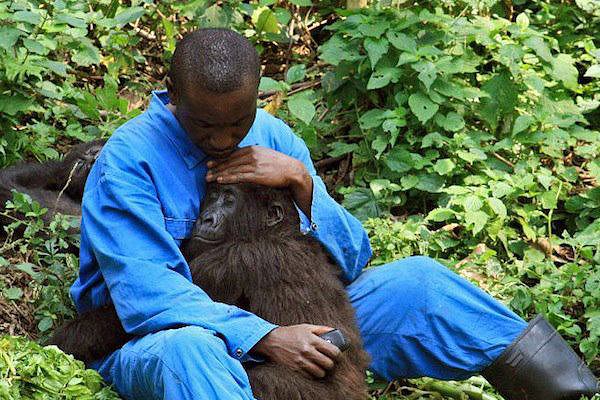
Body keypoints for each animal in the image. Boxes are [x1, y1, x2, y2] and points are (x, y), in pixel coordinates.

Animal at [49, 182, 370, 400]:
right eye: (212, 197)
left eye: (229, 200)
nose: (206, 218)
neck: (277, 231)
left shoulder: (230, 261)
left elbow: (151, 311)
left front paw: (62, 342)